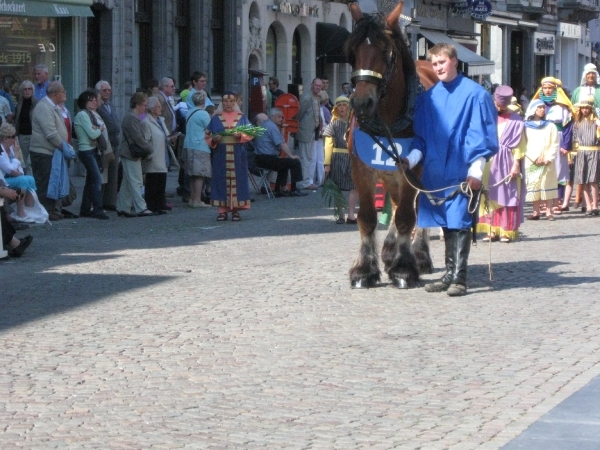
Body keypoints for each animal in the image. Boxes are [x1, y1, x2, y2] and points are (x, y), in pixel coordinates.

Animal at [346, 1, 436, 288]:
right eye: (353, 52)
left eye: (386, 52)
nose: (362, 102)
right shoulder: (362, 168)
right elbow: (367, 217)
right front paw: (364, 269)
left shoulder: (413, 168)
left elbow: (407, 216)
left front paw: (404, 268)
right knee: (395, 205)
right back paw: (388, 250)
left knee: (417, 208)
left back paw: (419, 255)